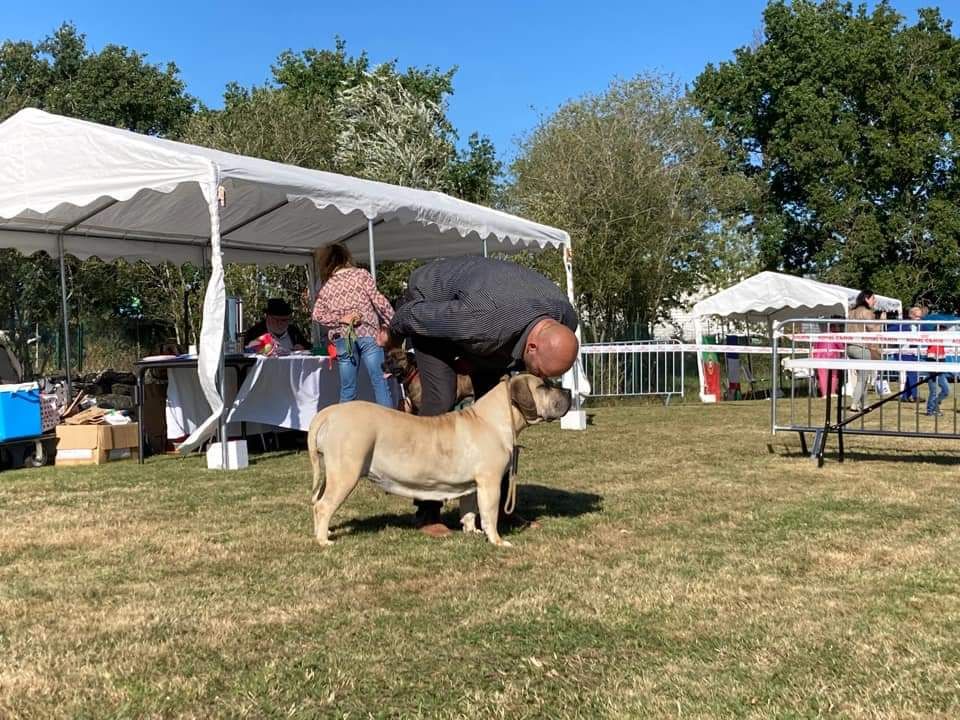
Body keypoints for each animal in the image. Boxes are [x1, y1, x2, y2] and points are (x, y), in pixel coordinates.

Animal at [306, 374, 568, 548]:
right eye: (543, 386)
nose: (567, 391)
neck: (491, 420)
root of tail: (330, 412)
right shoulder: (490, 482)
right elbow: (490, 514)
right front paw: (497, 541)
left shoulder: (473, 485)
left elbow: (469, 510)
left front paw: (471, 531)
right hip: (345, 474)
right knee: (324, 505)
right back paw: (324, 540)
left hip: (332, 473)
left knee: (318, 503)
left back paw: (323, 532)